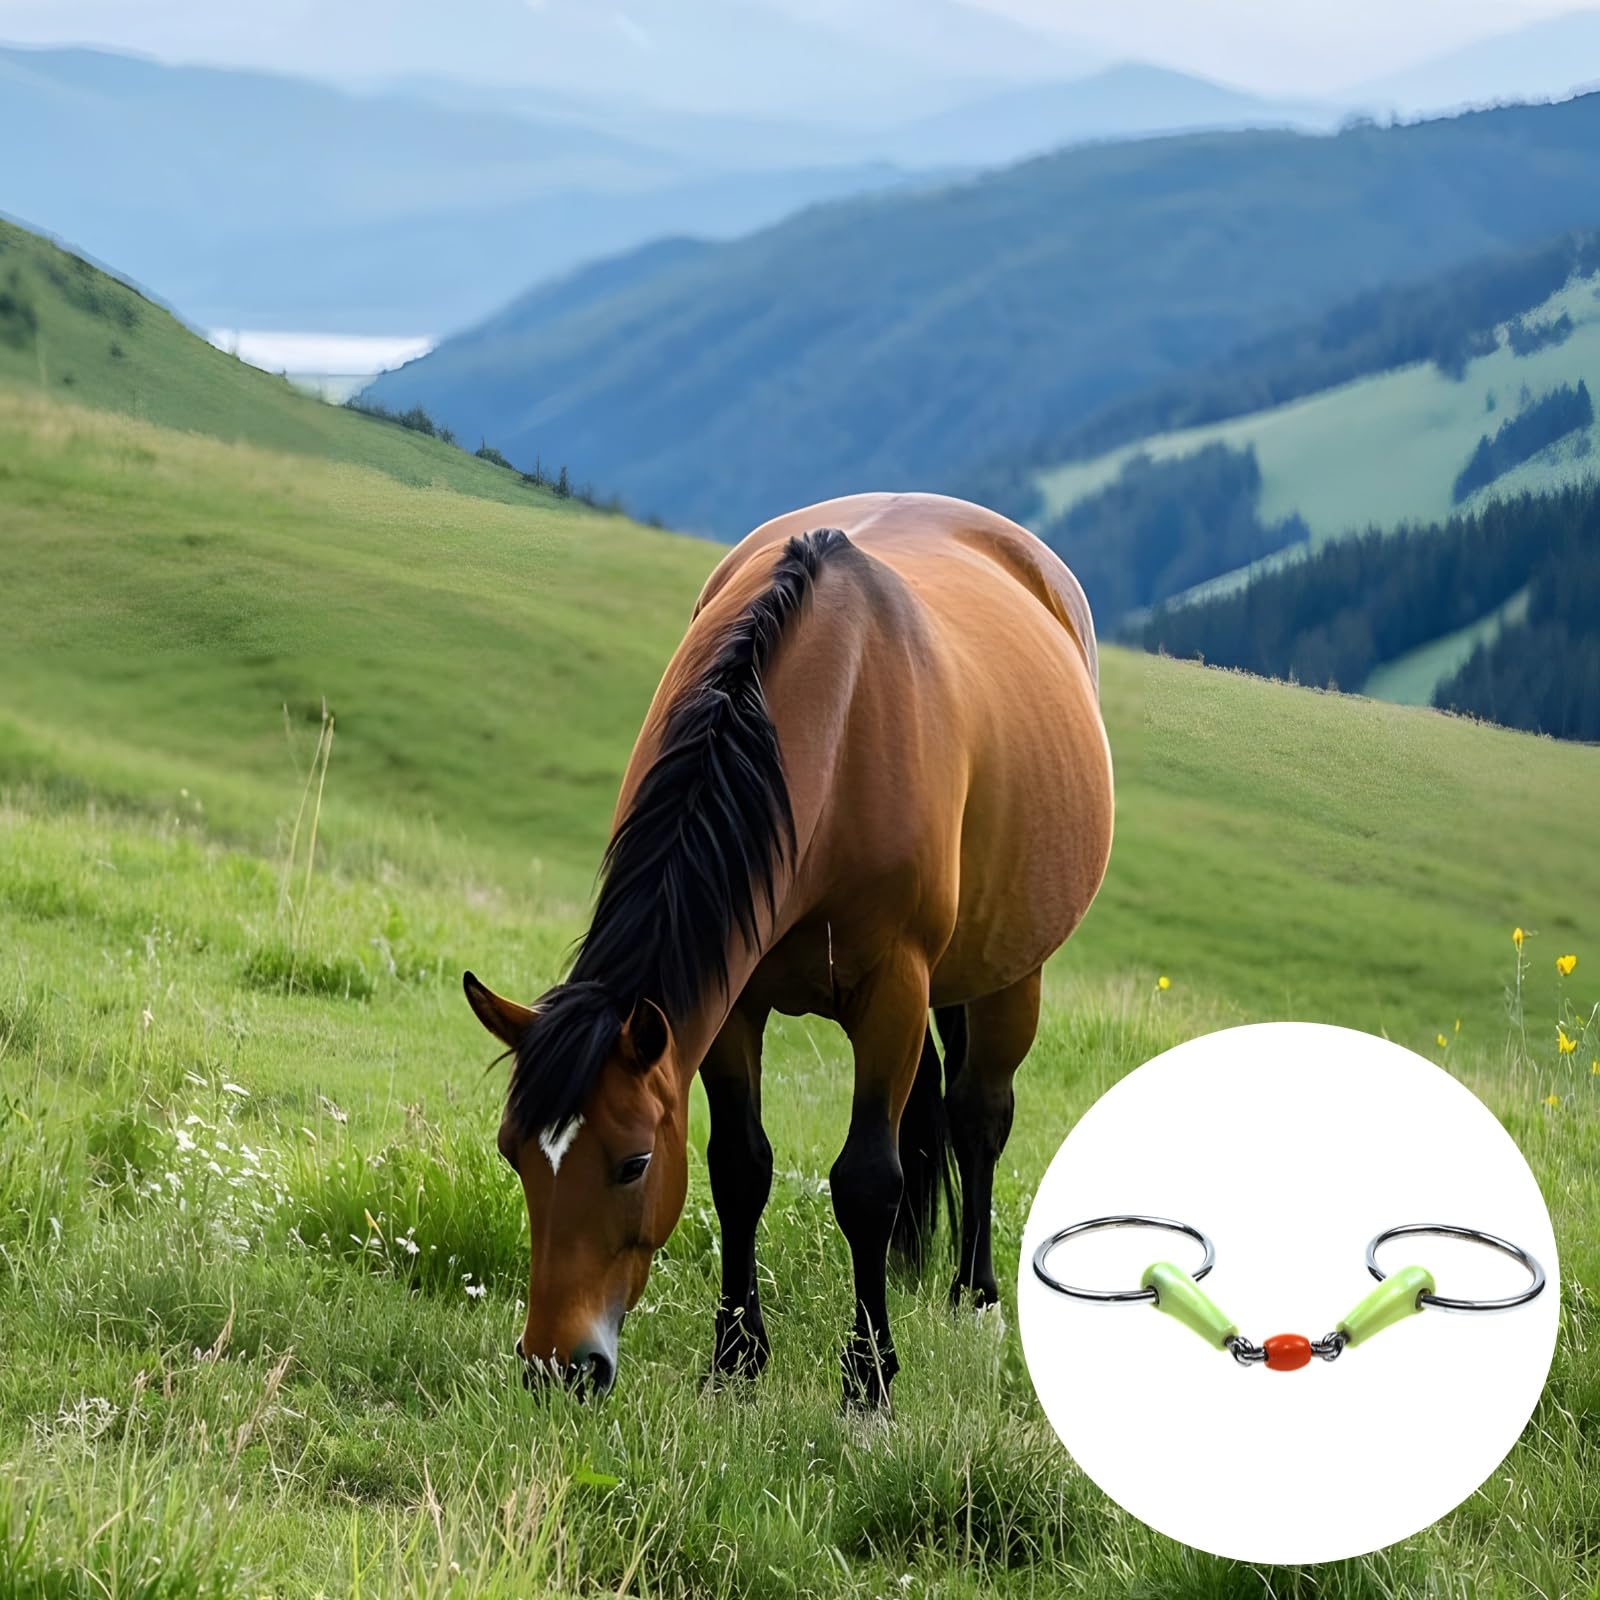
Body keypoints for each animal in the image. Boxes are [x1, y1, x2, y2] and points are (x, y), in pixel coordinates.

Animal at [464, 491, 1113, 1406]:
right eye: (513, 1153)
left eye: (631, 1164)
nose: (558, 1367)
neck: (833, 726)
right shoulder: (727, 1002)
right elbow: (740, 1165)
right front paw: (736, 1358)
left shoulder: (894, 994)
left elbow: (868, 1181)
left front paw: (868, 1379)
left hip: (1012, 975)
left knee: (980, 1117)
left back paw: (974, 1295)